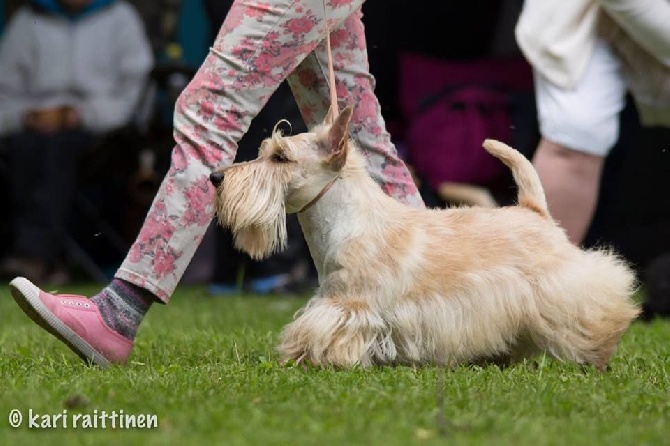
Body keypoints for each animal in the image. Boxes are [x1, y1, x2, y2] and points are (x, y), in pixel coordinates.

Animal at [213, 106, 644, 372]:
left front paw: (315, 358)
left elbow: (326, 331)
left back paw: (598, 352)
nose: (216, 177)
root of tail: (533, 209)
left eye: (281, 157)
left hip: (562, 288)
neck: (348, 221)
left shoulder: (351, 306)